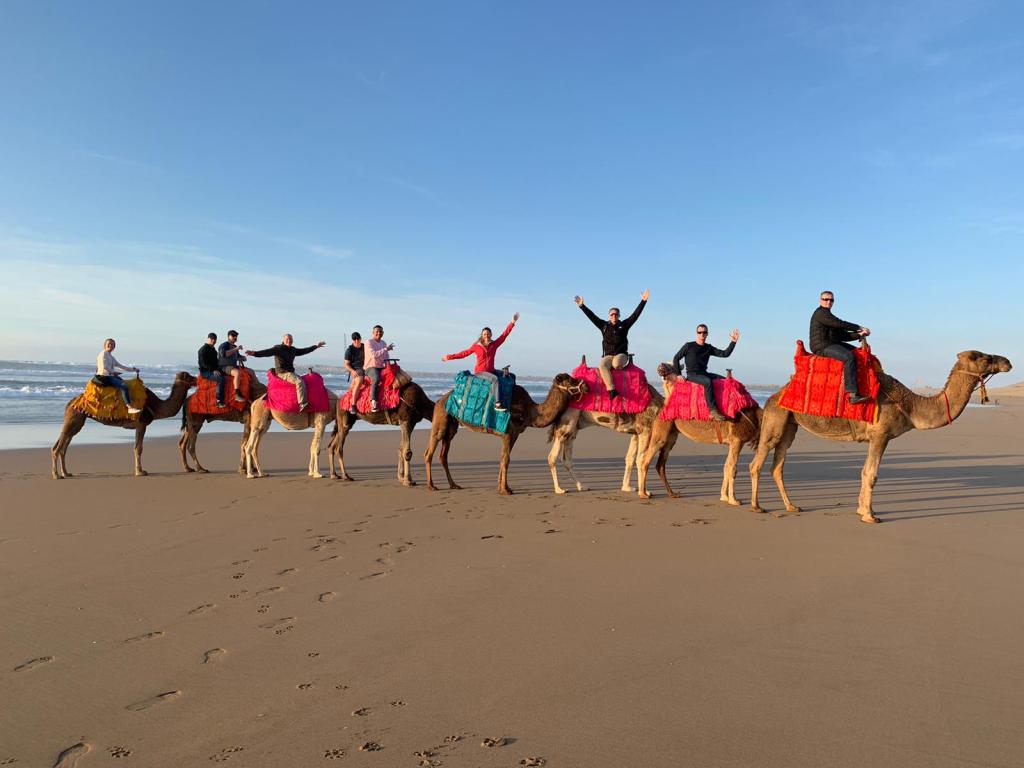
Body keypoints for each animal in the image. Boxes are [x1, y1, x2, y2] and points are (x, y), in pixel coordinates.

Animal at [51, 372, 198, 479]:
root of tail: (71, 402)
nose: (197, 378)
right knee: (58, 447)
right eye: (188, 376)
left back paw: (66, 473)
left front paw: (141, 470)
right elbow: (138, 448)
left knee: (64, 445)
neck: (156, 406)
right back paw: (56, 475)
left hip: (77, 420)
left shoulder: (139, 425)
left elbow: (137, 447)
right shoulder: (141, 424)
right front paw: (140, 472)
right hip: (75, 417)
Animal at [424, 373, 587, 495]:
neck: (532, 411)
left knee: (443, 455)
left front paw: (504, 487)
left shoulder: (514, 434)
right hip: (440, 420)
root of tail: (439, 400)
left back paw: (454, 485)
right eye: (570, 379)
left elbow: (503, 458)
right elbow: (506, 459)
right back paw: (431, 486)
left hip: (451, 427)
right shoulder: (508, 432)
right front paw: (505, 490)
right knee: (429, 452)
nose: (585, 385)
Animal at [748, 349, 1012, 523]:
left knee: (778, 464)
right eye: (984, 357)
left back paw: (792, 506)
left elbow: (864, 471)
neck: (910, 406)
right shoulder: (881, 434)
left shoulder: (876, 437)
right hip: (775, 419)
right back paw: (756, 506)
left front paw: (862, 510)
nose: (1007, 361)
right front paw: (869, 515)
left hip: (790, 425)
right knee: (756, 463)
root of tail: (772, 397)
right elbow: (871, 474)